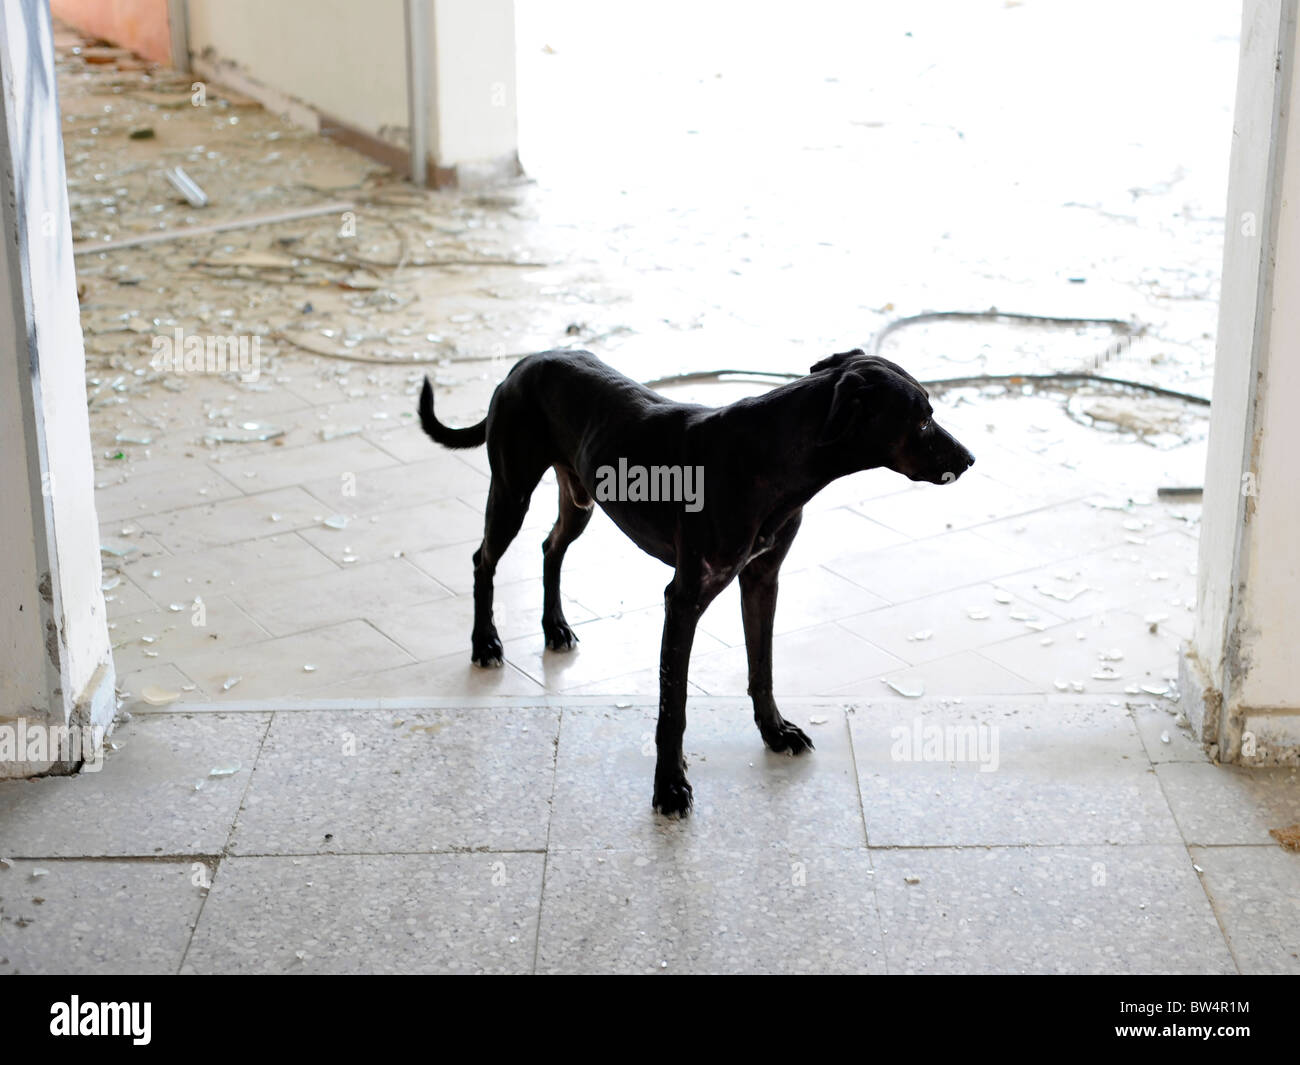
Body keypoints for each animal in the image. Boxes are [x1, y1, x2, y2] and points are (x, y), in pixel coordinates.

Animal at [418, 351, 977, 816]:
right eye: (922, 418)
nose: (970, 459)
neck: (773, 454)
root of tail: (523, 363)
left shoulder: (761, 581)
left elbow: (761, 669)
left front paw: (775, 733)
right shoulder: (684, 599)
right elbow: (674, 708)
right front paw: (669, 786)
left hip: (578, 498)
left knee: (550, 549)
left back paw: (554, 628)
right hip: (511, 491)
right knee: (483, 560)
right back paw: (485, 642)